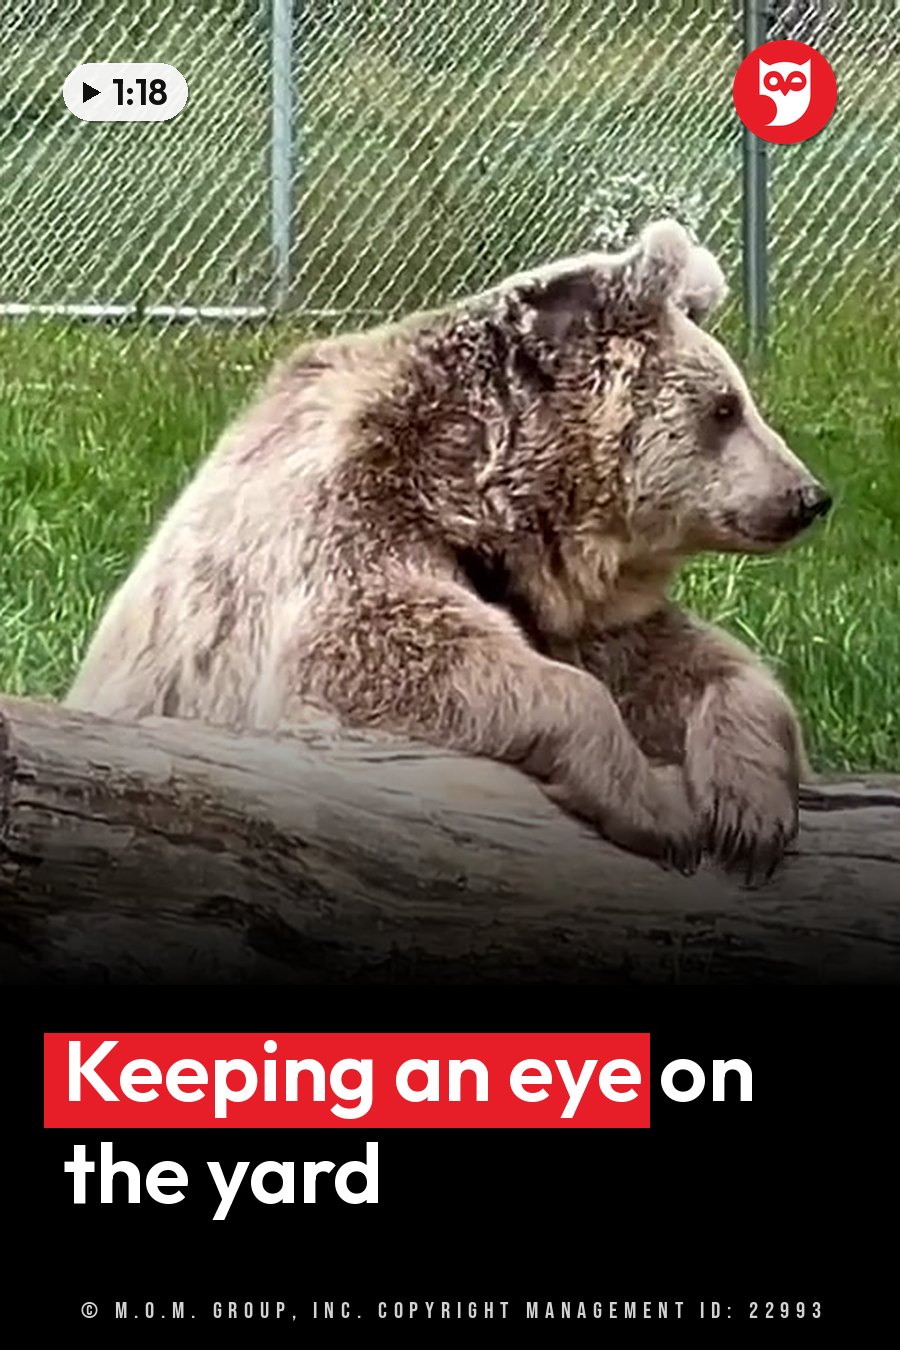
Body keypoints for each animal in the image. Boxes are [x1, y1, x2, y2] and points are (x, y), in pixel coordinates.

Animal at [64, 219, 831, 879]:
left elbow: (690, 661)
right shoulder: (347, 531)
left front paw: (748, 813)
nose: (808, 496)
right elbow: (396, 654)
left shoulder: (568, 609)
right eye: (725, 409)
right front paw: (654, 806)